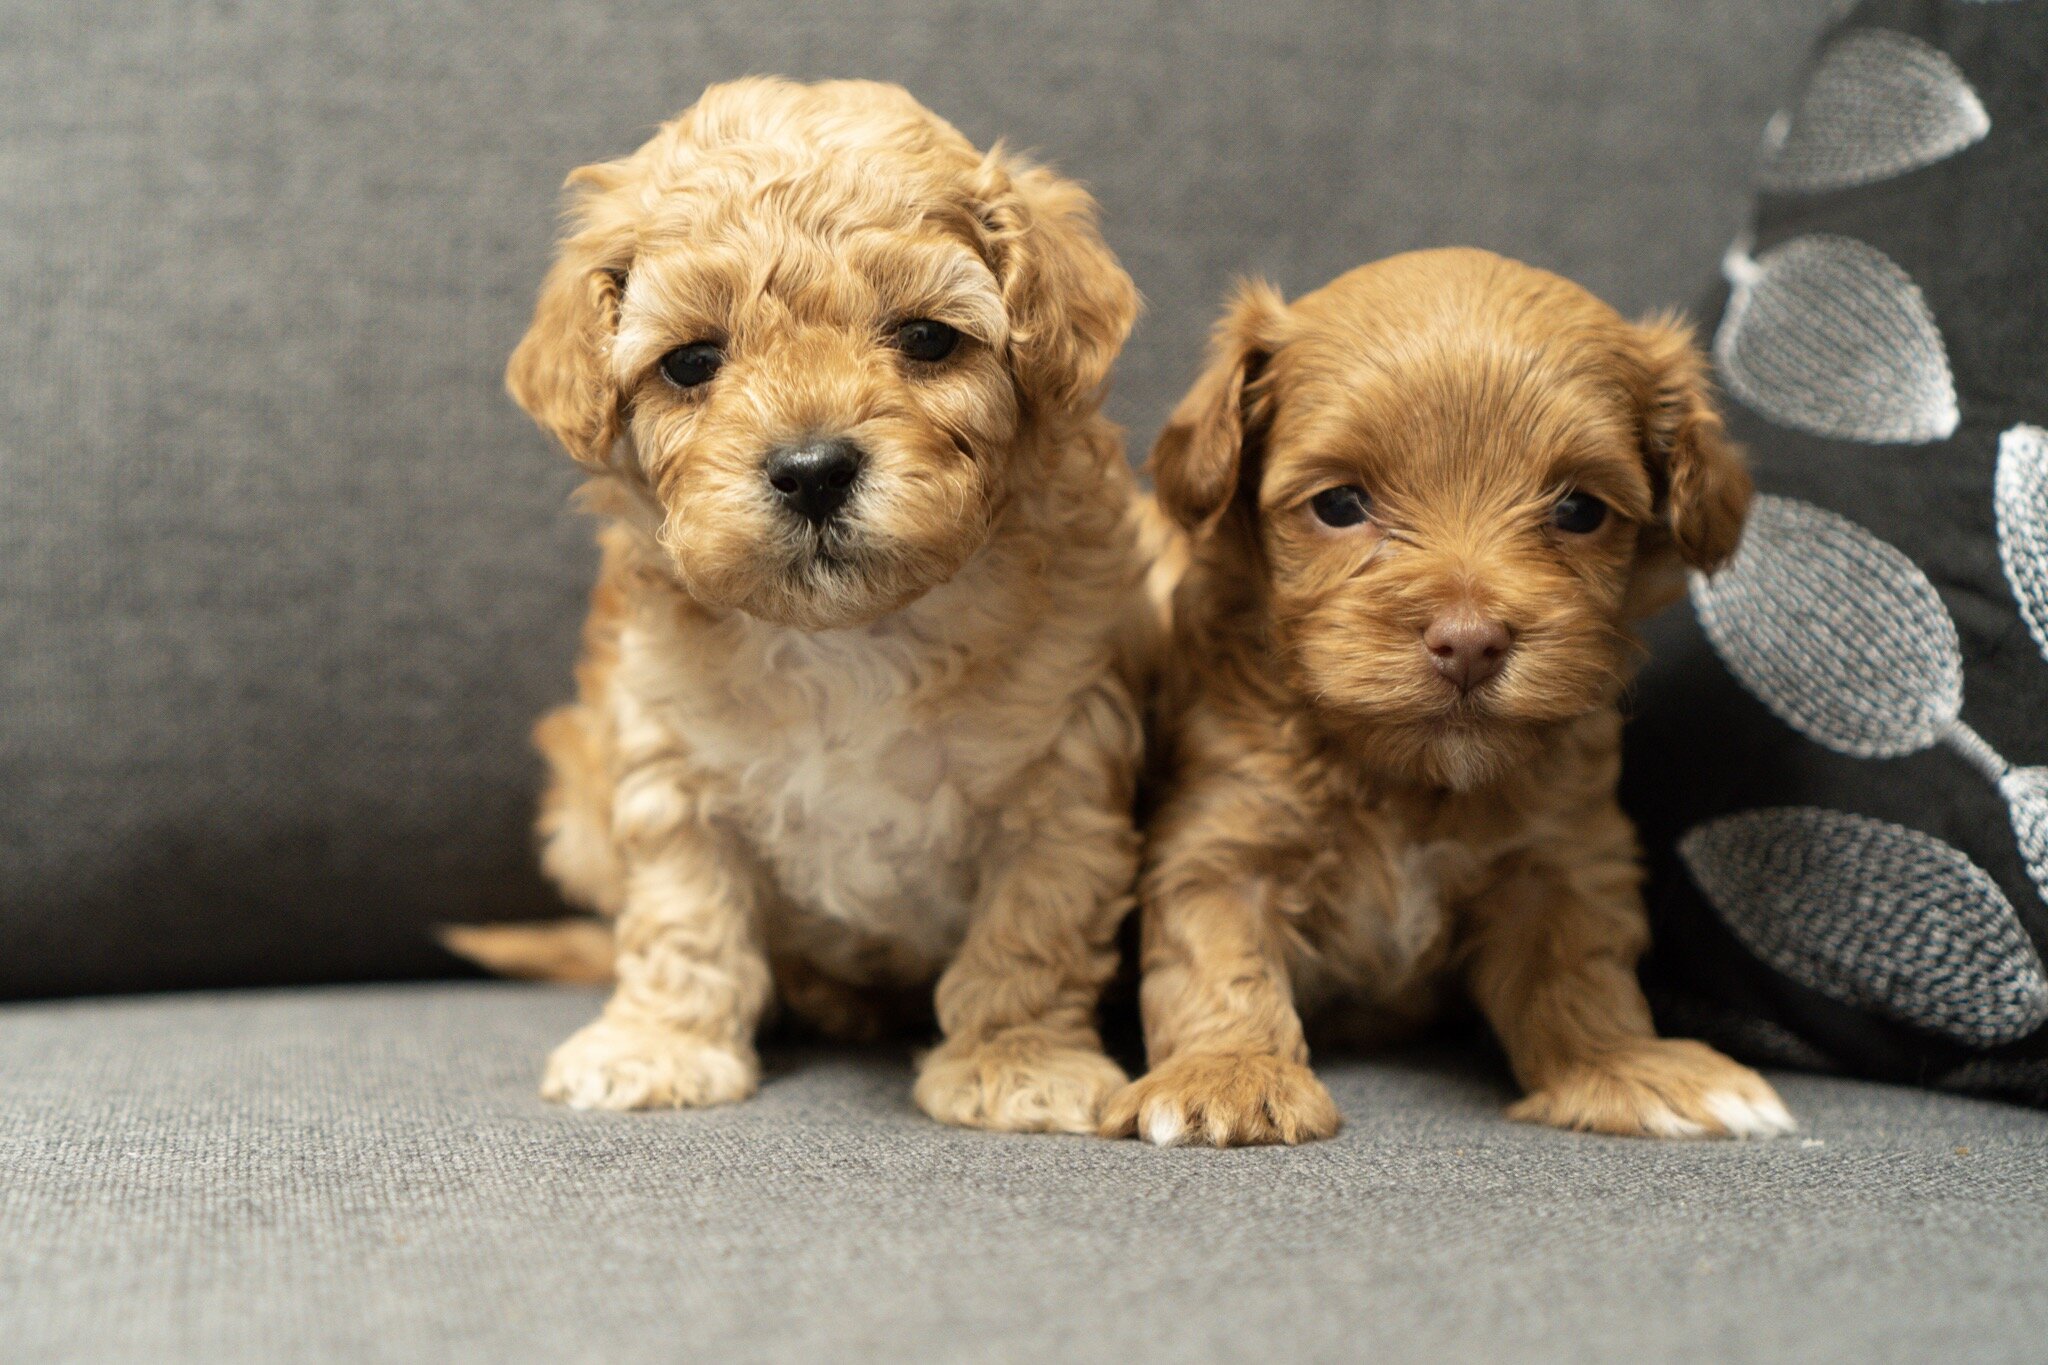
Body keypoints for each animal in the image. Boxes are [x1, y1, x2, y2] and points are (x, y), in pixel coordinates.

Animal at [448, 80, 1146, 1137]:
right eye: (692, 362)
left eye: (928, 337)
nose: (813, 469)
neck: (847, 638)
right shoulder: (668, 762)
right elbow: (683, 920)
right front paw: (660, 1044)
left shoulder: (1062, 771)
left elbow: (1033, 926)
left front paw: (1017, 1059)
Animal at [1105, 250, 1794, 1146]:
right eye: (1339, 504)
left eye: (1580, 509)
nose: (1469, 640)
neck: (1408, 778)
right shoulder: (1223, 832)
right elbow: (1217, 958)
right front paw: (1227, 1072)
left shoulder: (1562, 855)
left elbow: (1579, 967)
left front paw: (1626, 1065)